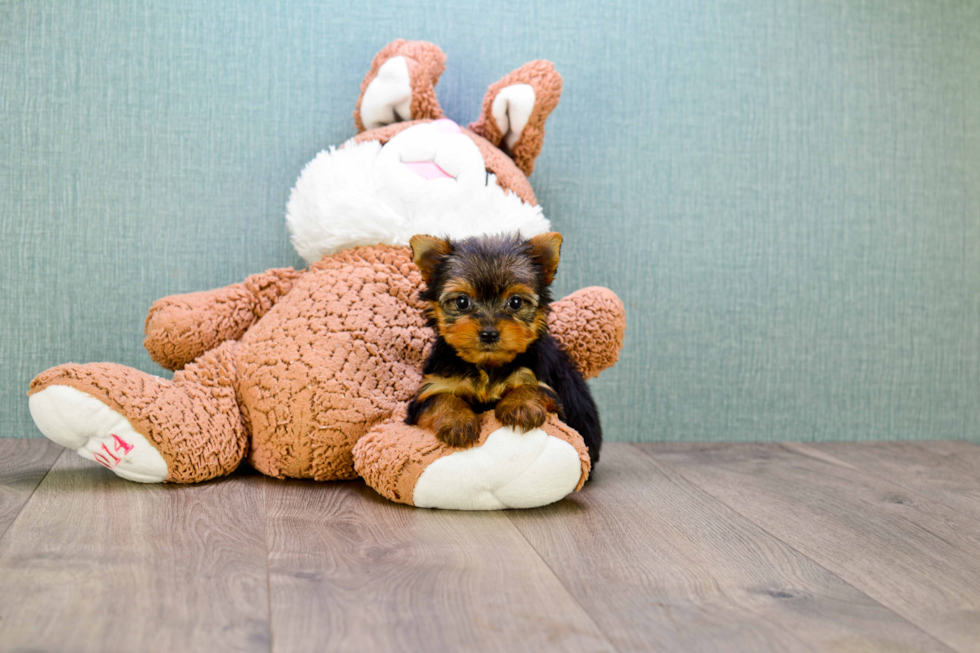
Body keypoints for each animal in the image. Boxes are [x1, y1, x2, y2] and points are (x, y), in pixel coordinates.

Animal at [402, 232, 600, 460]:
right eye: (462, 302)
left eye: (515, 302)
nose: (489, 334)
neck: (488, 365)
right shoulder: (432, 388)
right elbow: (440, 398)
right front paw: (456, 420)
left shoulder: (550, 392)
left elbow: (532, 386)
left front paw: (521, 405)